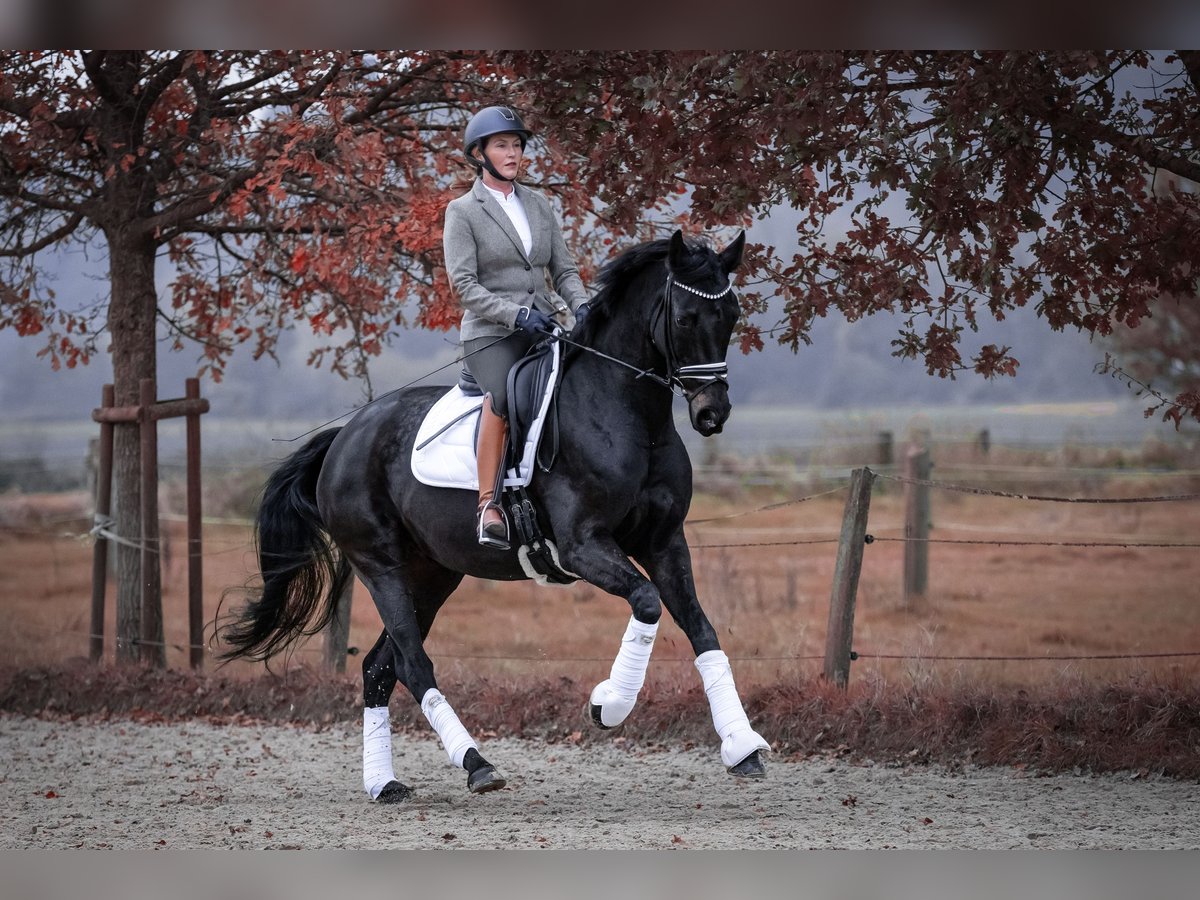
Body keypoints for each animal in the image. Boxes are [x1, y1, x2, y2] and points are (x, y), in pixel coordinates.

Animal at [220, 230, 768, 801]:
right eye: (684, 318)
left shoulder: (664, 543)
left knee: (380, 668)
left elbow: (702, 629)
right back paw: (477, 764)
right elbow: (646, 601)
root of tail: (345, 437)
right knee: (414, 664)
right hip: (381, 567)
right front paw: (608, 705)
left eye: (731, 314)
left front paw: (742, 746)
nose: (712, 413)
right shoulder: (583, 545)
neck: (630, 416)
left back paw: (385, 784)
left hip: (432, 575)